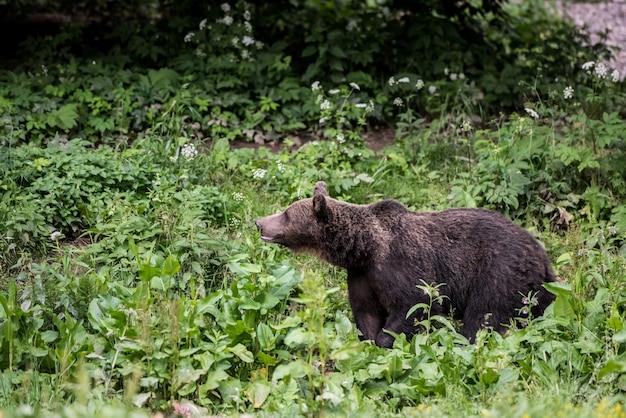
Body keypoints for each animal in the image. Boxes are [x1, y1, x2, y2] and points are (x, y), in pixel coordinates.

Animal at [256, 181, 552, 348]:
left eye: (286, 213)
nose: (259, 222)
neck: (365, 248)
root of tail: (541, 253)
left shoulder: (401, 265)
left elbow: (414, 304)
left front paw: (386, 340)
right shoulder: (362, 275)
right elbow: (366, 311)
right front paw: (370, 340)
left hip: (498, 272)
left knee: (482, 317)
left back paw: (464, 343)